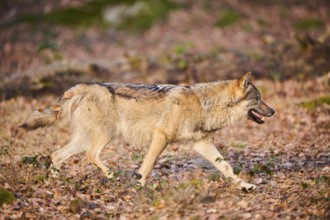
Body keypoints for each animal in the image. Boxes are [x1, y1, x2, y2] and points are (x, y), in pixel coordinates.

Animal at [21, 72, 274, 192]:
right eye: (259, 99)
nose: (273, 111)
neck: (206, 105)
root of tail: (78, 87)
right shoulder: (161, 137)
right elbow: (148, 166)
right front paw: (139, 186)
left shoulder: (203, 144)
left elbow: (227, 168)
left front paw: (245, 186)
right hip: (106, 135)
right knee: (91, 155)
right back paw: (112, 176)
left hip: (85, 139)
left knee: (56, 155)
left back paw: (55, 183)